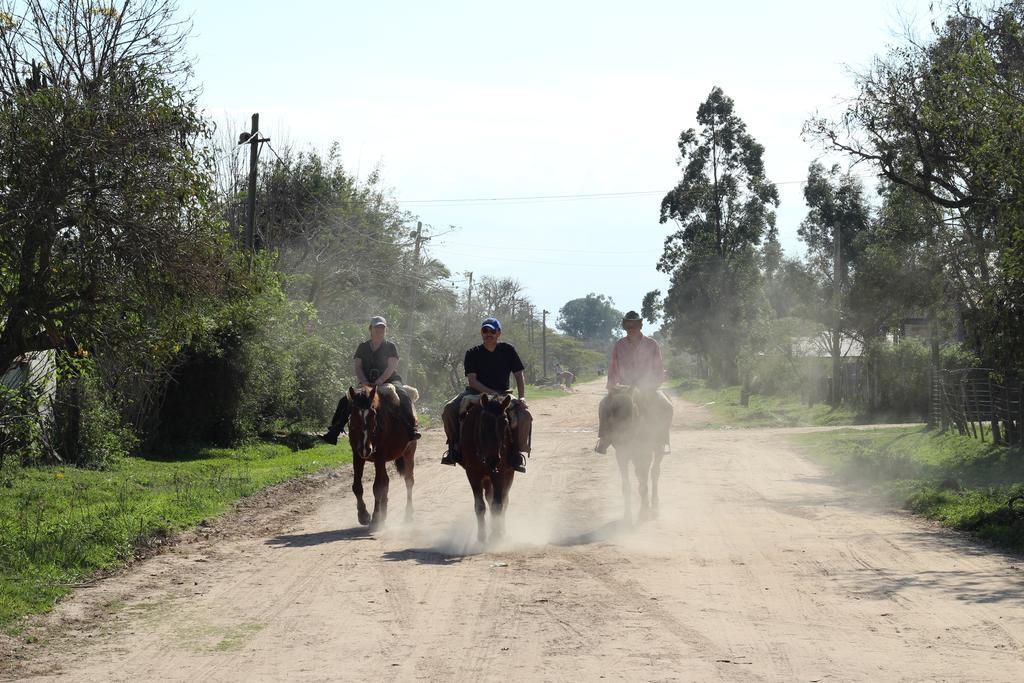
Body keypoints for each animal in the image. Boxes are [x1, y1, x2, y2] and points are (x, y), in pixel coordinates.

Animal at [348, 385, 415, 528]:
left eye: (373, 414)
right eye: (354, 414)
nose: (365, 449)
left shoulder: (379, 457)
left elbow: (377, 487)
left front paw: (375, 517)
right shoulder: (357, 456)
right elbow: (357, 487)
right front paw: (363, 515)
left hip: (409, 452)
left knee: (409, 481)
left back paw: (408, 514)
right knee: (386, 481)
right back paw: (384, 513)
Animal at [458, 395, 516, 544]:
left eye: (505, 423)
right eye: (483, 423)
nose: (493, 460)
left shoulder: (499, 474)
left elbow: (498, 505)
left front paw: (496, 534)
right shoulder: (472, 474)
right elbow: (480, 506)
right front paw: (482, 536)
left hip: (508, 474)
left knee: (504, 500)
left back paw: (501, 529)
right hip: (486, 478)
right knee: (489, 499)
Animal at [606, 387, 663, 528]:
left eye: (632, 408)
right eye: (612, 411)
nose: (623, 436)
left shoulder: (644, 455)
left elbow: (643, 485)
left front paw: (643, 513)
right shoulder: (621, 456)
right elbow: (627, 486)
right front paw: (627, 517)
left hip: (658, 450)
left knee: (654, 473)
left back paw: (654, 507)